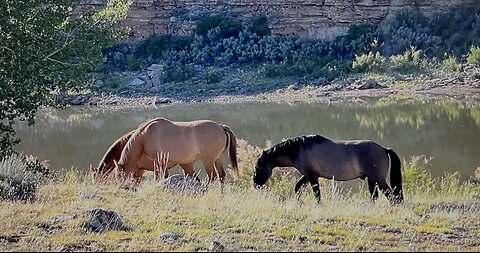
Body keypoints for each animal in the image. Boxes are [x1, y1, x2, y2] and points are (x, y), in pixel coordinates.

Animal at [253, 134, 404, 204]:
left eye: (257, 166)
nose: (255, 184)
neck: (299, 149)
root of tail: (384, 149)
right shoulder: (308, 176)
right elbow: (297, 188)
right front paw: (300, 202)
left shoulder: (312, 177)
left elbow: (317, 194)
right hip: (372, 180)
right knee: (375, 196)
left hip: (378, 179)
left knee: (392, 197)